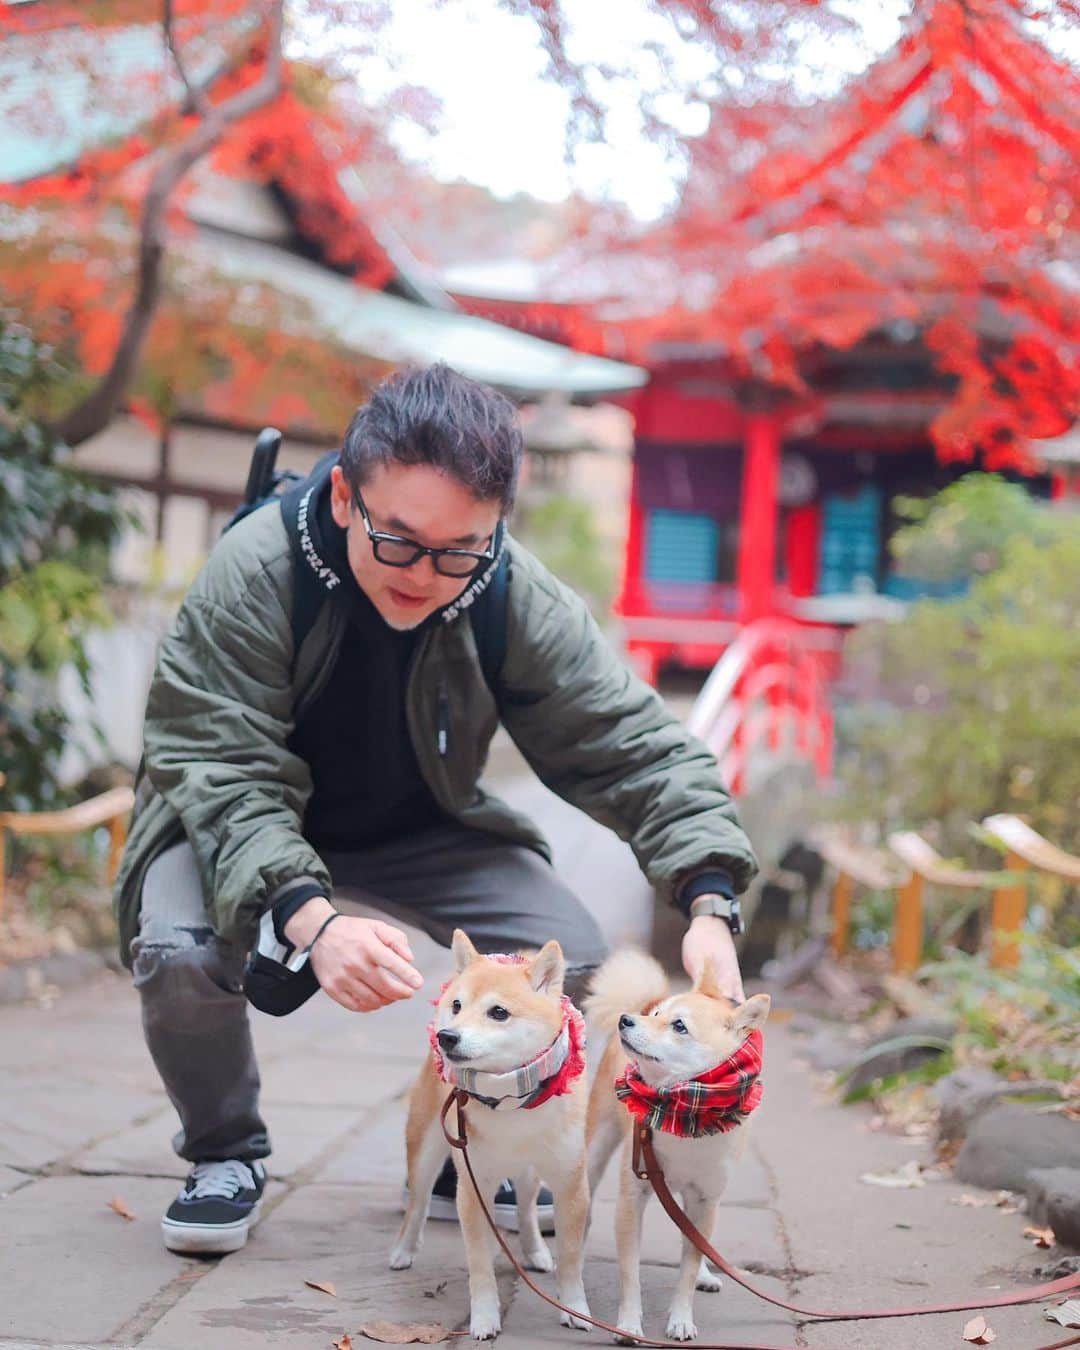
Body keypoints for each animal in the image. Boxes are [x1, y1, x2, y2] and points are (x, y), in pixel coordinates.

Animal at [388, 934, 591, 1344]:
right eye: (457, 1005)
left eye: (498, 1012)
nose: (447, 1036)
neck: (512, 1099)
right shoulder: (473, 1187)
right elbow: (480, 1266)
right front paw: (483, 1319)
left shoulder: (571, 1184)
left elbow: (572, 1258)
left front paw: (575, 1308)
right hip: (427, 1148)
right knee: (417, 1203)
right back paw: (403, 1251)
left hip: (531, 1173)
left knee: (527, 1208)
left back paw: (535, 1251)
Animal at [585, 950, 772, 1339]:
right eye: (656, 1016)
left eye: (679, 1026)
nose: (627, 1020)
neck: (687, 1109)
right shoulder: (633, 1195)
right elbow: (630, 1272)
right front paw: (629, 1324)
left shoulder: (705, 1200)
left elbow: (687, 1266)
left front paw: (681, 1318)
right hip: (598, 1145)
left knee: (695, 1241)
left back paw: (705, 1273)